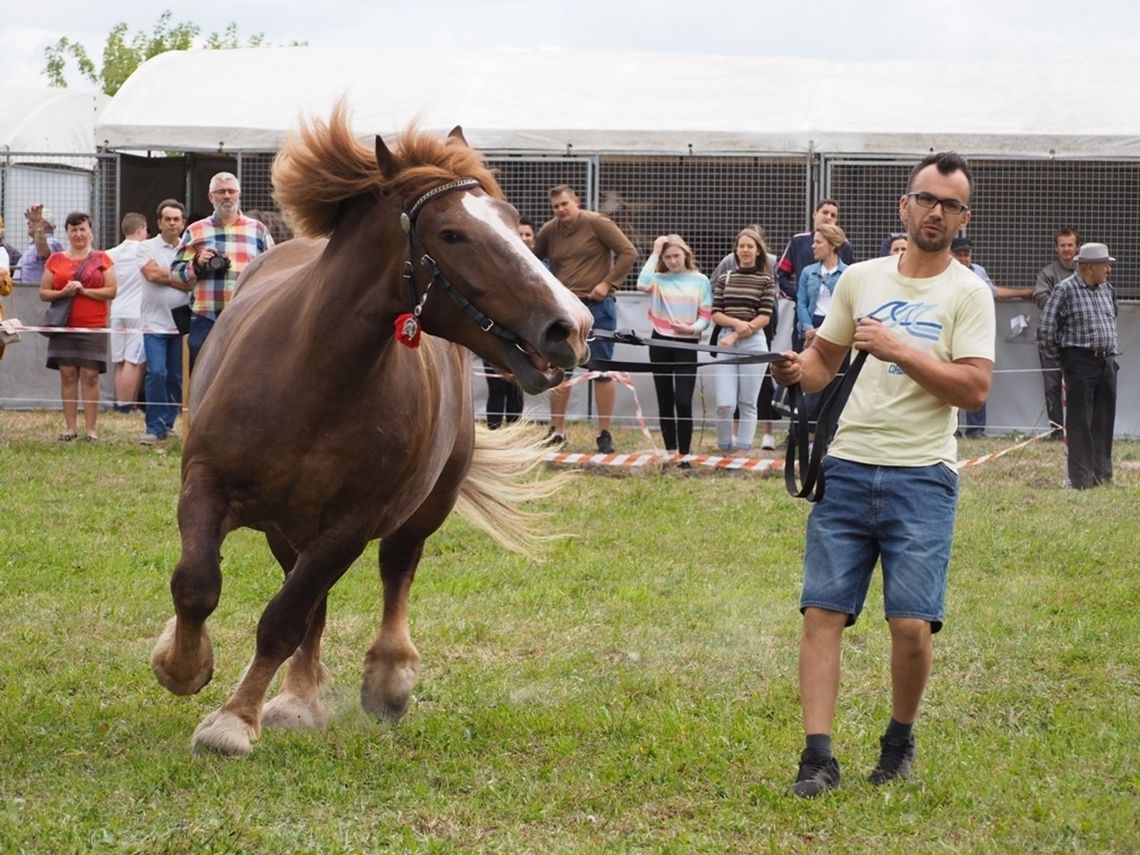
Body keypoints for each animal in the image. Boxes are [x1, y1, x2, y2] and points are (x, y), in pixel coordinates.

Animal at [151, 107, 592, 756]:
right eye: (451, 234)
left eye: (515, 223)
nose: (571, 326)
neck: (313, 379)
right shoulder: (205, 485)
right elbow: (197, 585)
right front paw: (181, 666)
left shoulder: (351, 524)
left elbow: (282, 619)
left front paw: (233, 720)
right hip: (288, 527)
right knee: (311, 603)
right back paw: (298, 697)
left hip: (421, 508)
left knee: (393, 572)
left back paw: (384, 678)